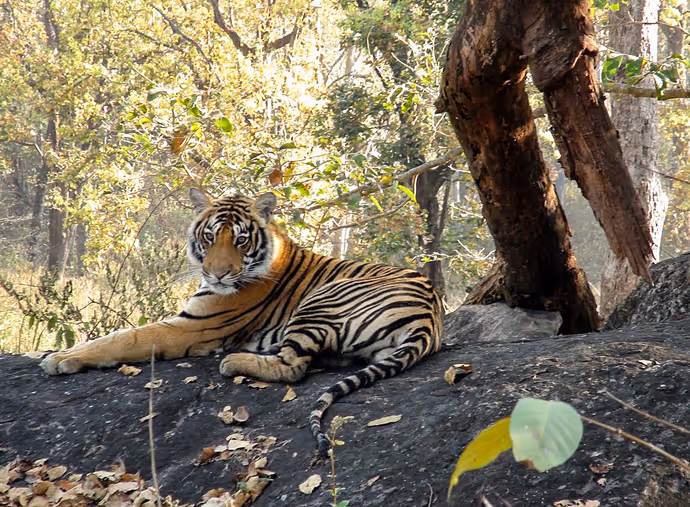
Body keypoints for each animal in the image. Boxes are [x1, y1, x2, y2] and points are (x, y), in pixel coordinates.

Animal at [40, 189, 444, 454]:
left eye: (240, 241)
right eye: (209, 237)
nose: (218, 274)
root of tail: (430, 317)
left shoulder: (193, 324)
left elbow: (125, 338)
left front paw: (61, 358)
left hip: (322, 299)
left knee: (293, 366)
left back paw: (233, 362)